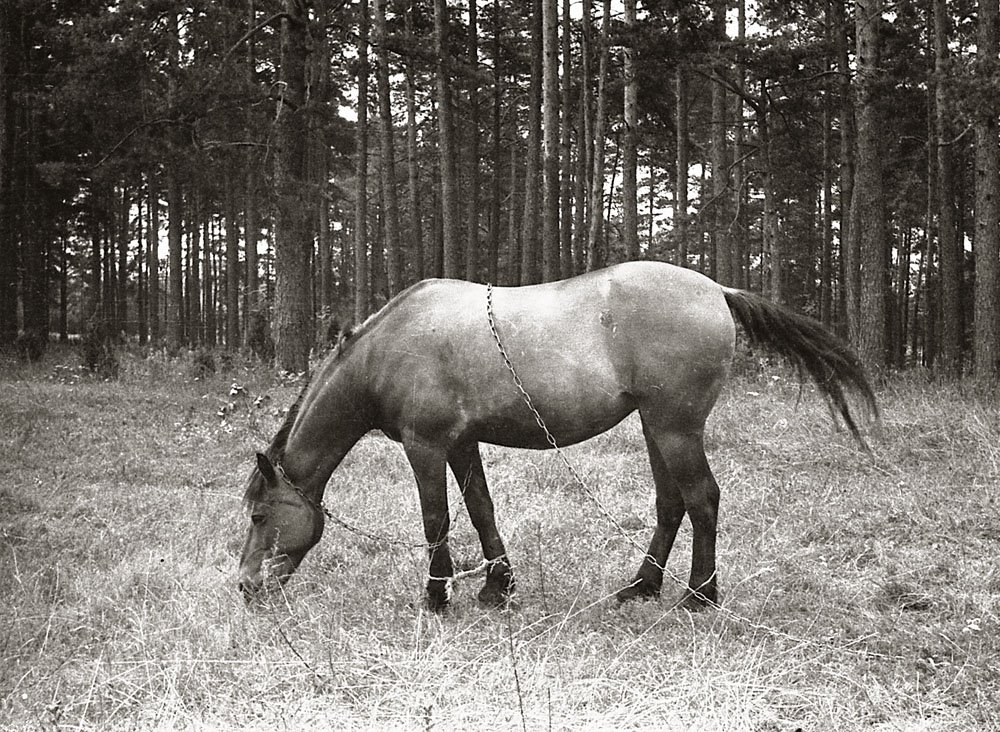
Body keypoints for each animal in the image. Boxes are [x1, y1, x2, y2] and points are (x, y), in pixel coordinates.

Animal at [236, 260, 876, 608]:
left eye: (260, 516)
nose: (245, 586)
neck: (387, 351)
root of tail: (718, 290)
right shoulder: (462, 443)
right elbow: (481, 508)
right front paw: (497, 588)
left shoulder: (426, 445)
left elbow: (436, 519)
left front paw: (438, 596)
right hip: (657, 428)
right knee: (672, 504)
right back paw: (641, 587)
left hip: (676, 428)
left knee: (703, 500)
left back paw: (699, 597)